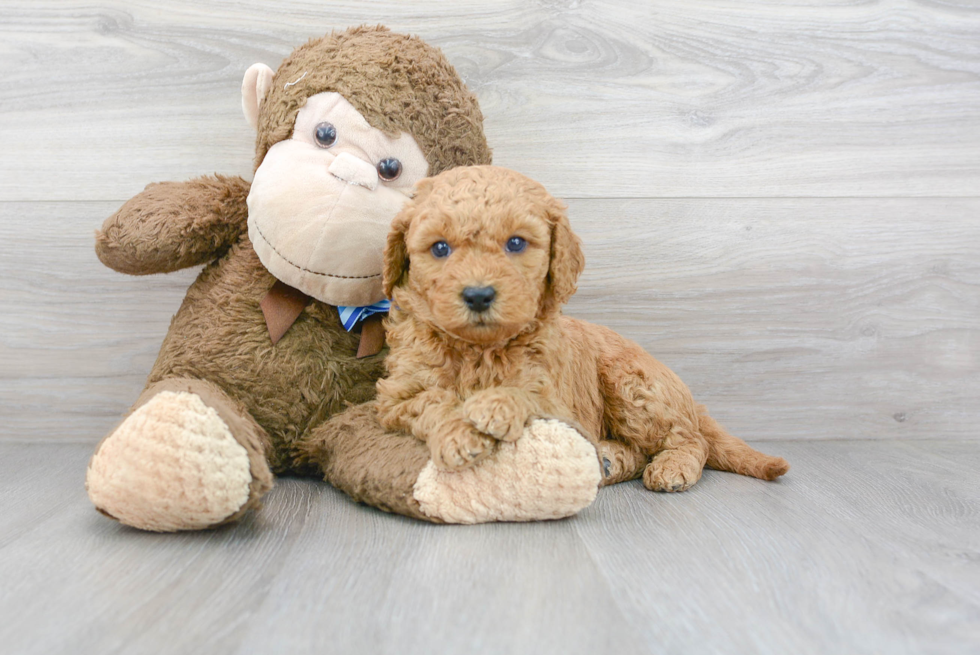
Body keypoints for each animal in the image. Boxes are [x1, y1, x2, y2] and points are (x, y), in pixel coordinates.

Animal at [376, 167, 788, 490]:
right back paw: (608, 460)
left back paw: (671, 467)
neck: (479, 349)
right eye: (440, 248)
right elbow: (431, 400)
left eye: (515, 243)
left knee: (692, 439)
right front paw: (457, 434)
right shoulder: (395, 397)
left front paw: (495, 405)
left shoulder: (559, 400)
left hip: (634, 385)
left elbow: (529, 394)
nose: (478, 295)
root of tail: (688, 399)